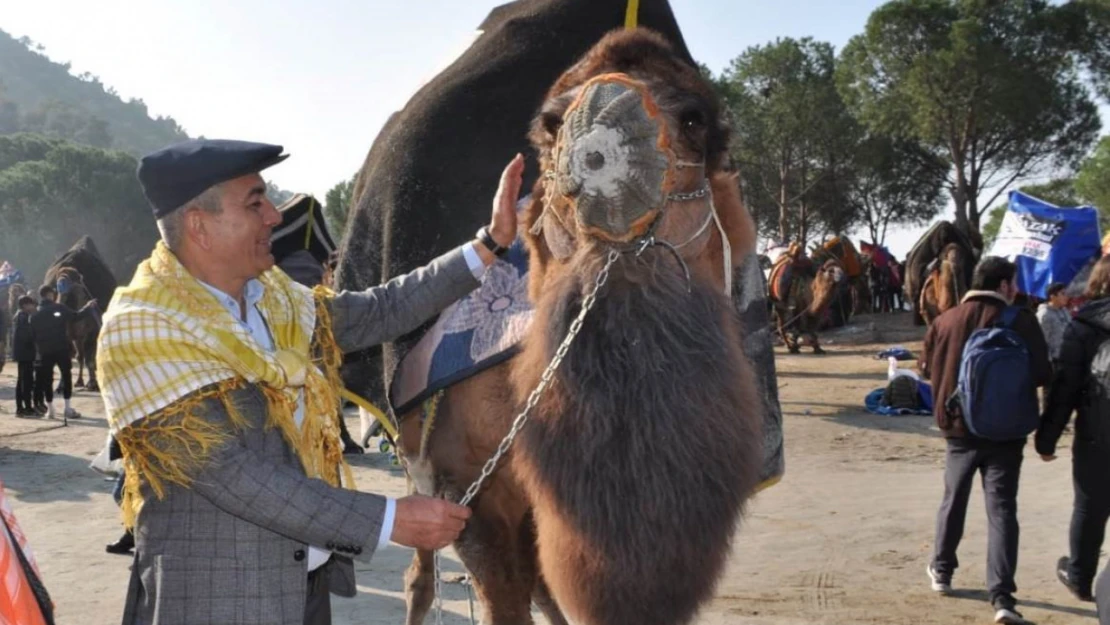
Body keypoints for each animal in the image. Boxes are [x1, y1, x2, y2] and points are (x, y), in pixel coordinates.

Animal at [395, 28, 768, 625]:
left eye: (694, 118)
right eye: (552, 122)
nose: (600, 142)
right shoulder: (467, 486)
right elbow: (503, 597)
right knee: (424, 571)